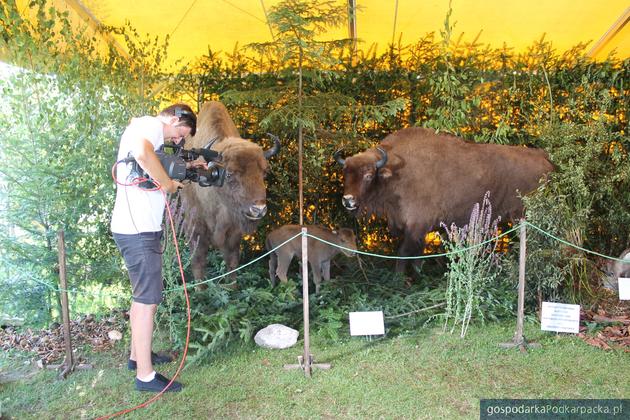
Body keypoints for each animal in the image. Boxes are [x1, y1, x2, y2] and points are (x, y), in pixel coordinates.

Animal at [183, 102, 282, 282]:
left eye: (264, 172)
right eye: (229, 174)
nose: (258, 209)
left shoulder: (234, 234)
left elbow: (232, 264)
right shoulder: (195, 230)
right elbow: (198, 265)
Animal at [336, 126, 552, 272]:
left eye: (368, 175)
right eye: (345, 173)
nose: (348, 201)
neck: (395, 171)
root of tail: (545, 158)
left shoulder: (417, 225)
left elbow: (405, 253)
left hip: (521, 215)